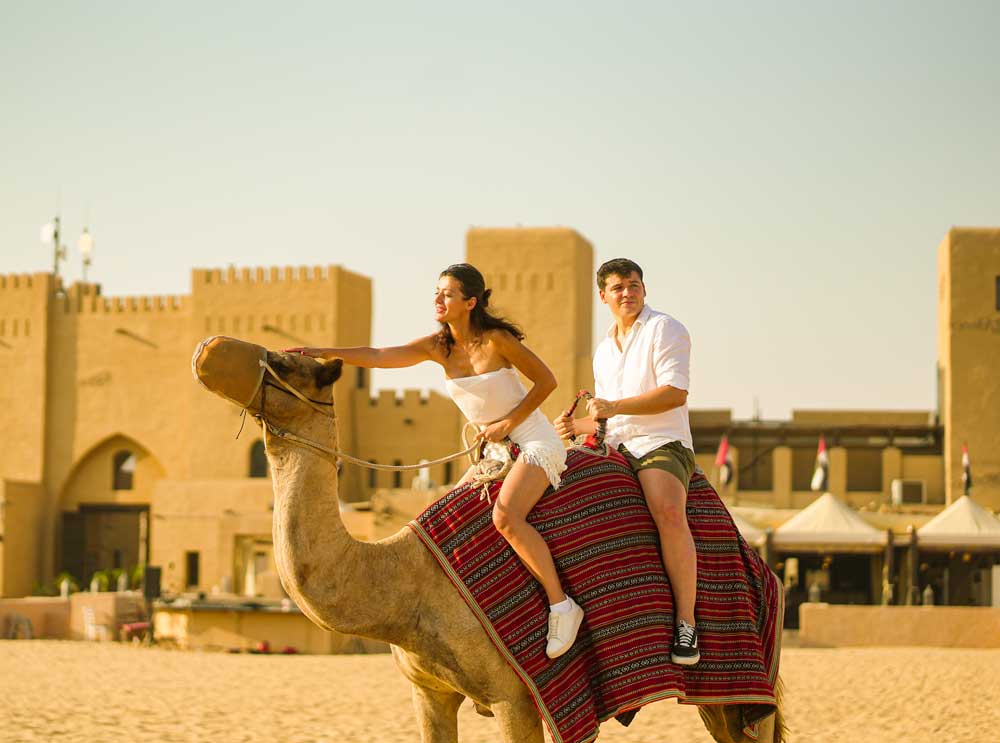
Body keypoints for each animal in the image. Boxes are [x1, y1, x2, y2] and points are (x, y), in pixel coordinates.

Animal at [189, 338, 780, 743]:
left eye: (286, 365)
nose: (207, 348)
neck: (405, 584)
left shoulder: (518, 695)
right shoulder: (428, 693)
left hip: (742, 676)